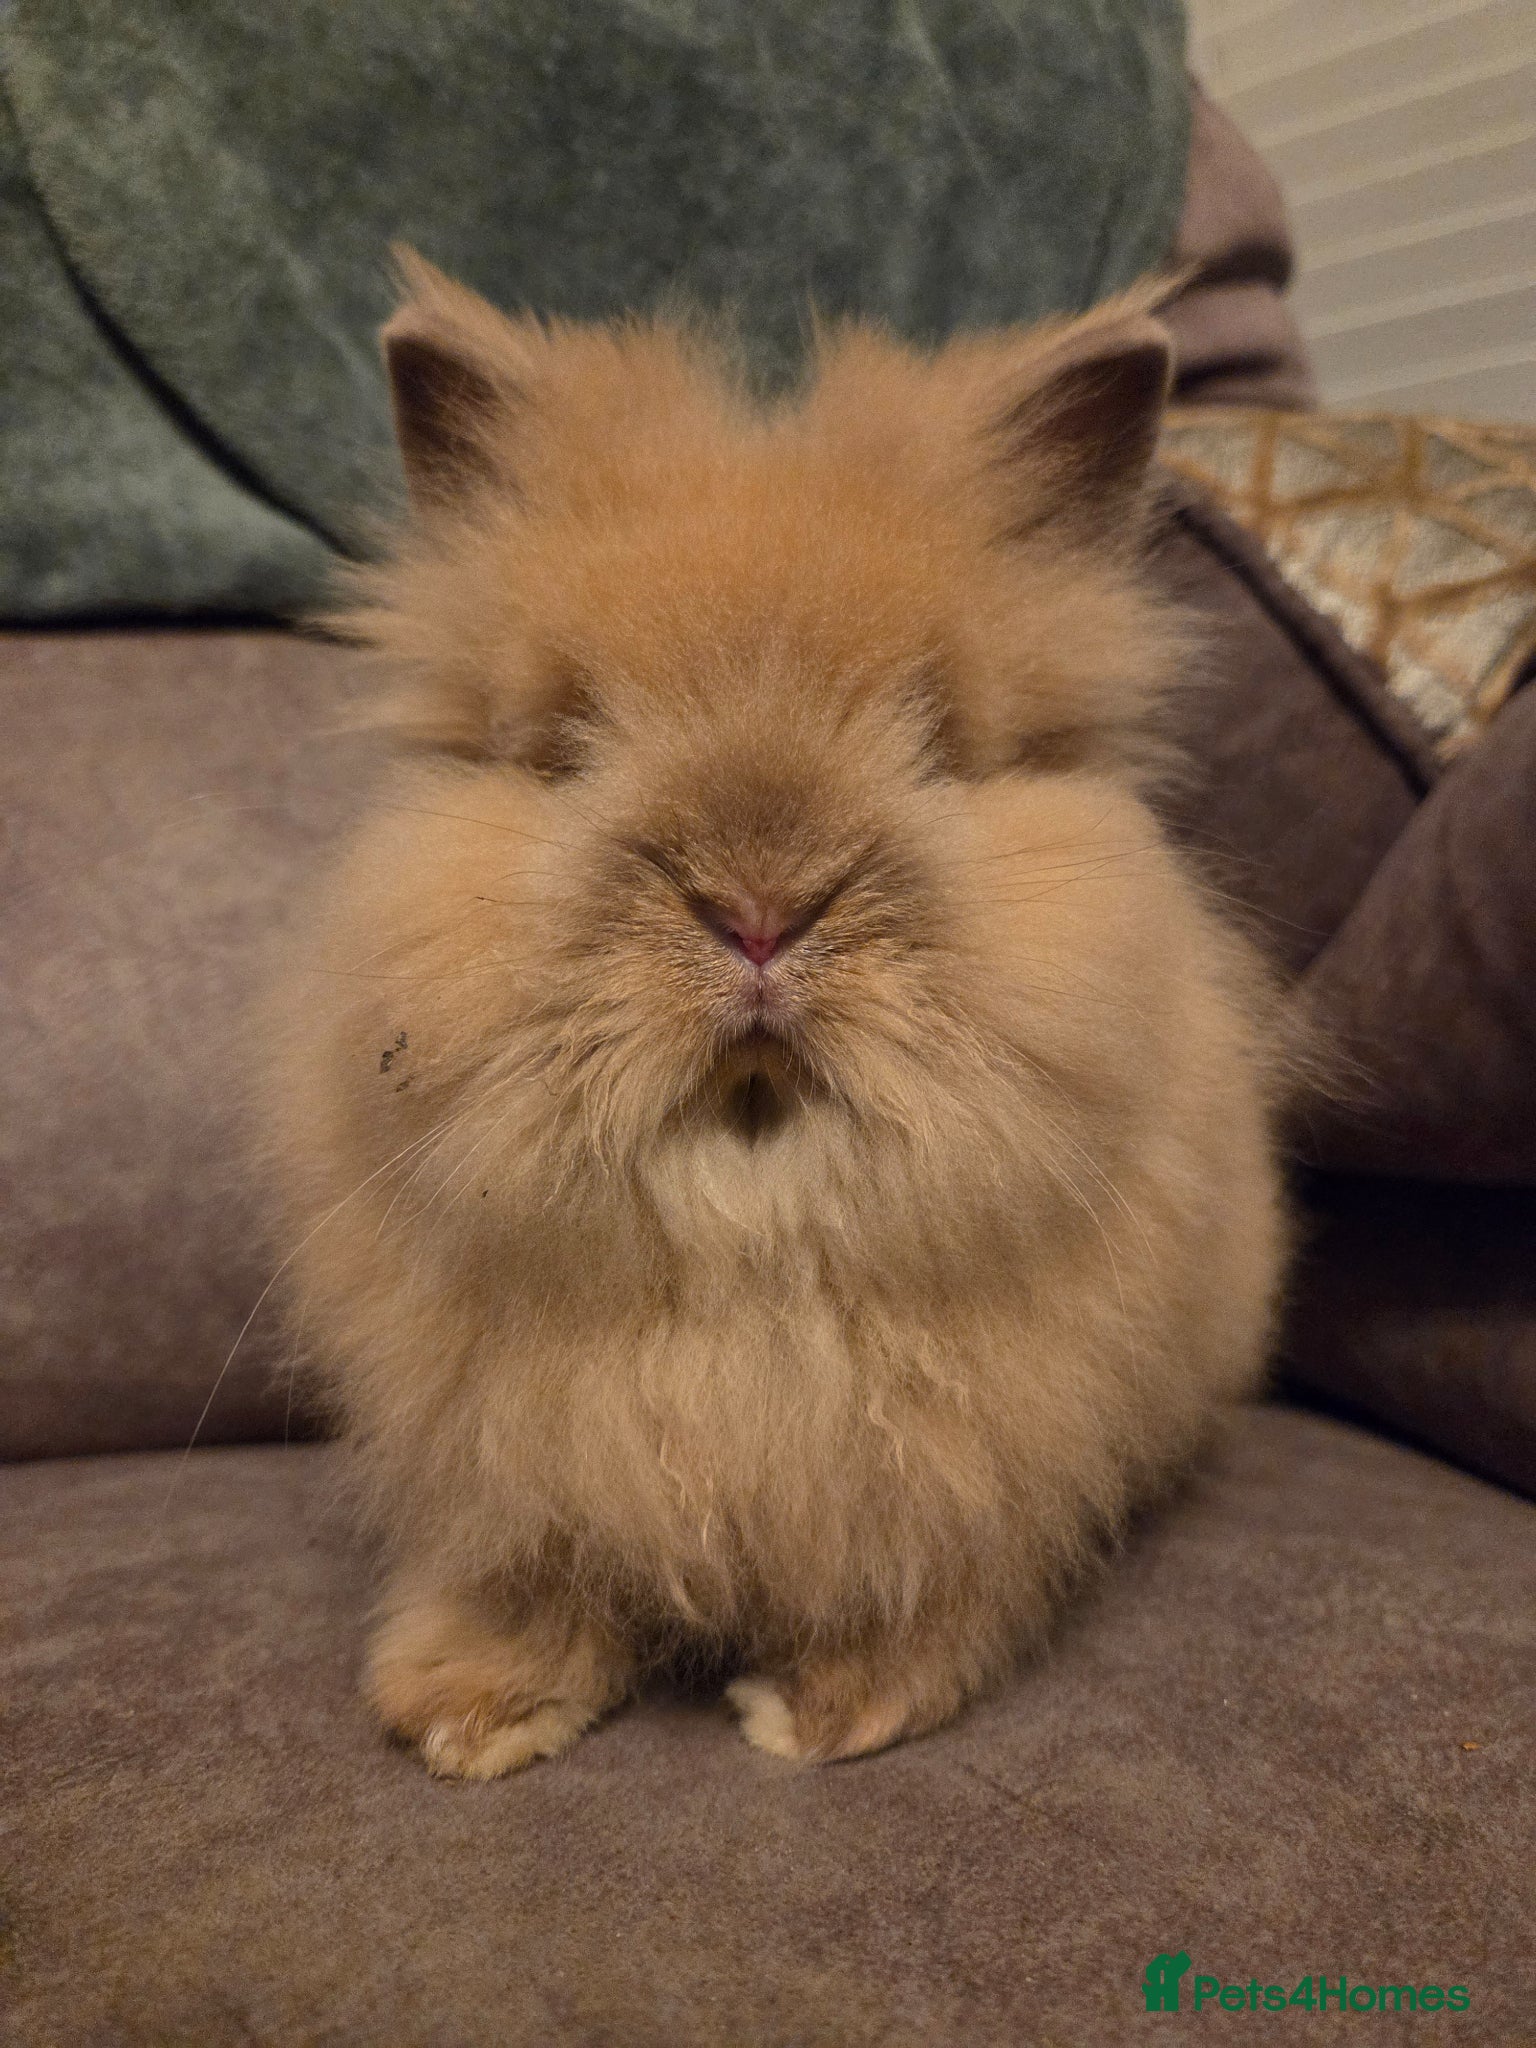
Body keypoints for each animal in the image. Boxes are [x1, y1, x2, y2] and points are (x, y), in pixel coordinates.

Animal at [258, 250, 1287, 1780]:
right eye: (564, 742)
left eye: (939, 741)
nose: (758, 908)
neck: (753, 1204)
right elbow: (527, 1578)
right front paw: (462, 1716)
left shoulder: (968, 1486)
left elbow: (933, 1599)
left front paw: (819, 1716)